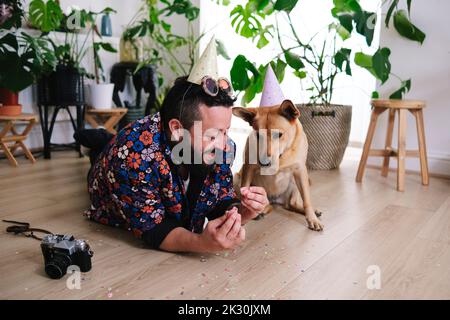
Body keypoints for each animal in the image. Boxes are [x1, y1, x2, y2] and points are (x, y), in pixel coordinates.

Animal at [232, 99, 324, 230]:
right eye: (258, 135)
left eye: (278, 135)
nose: (264, 162)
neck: (282, 156)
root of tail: (274, 200)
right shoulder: (248, 168)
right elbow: (245, 196)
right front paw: (242, 216)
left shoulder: (300, 170)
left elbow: (306, 200)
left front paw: (312, 218)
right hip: (237, 178)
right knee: (267, 205)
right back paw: (259, 211)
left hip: (294, 182)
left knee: (291, 204)